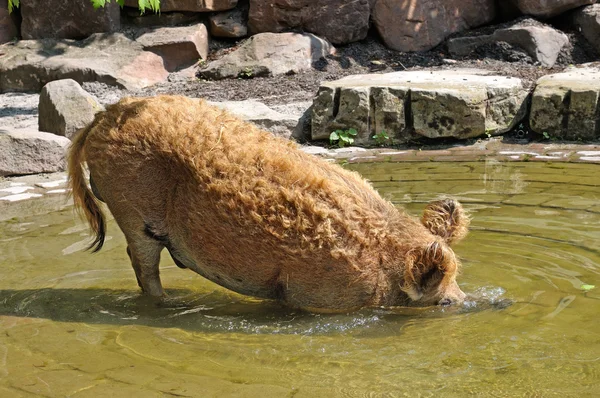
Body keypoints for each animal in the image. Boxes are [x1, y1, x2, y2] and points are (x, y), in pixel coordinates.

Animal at [68, 95, 472, 310]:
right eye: (444, 300)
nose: (468, 301)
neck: (383, 261)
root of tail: (102, 116)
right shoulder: (313, 295)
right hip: (132, 210)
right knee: (142, 265)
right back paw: (168, 304)